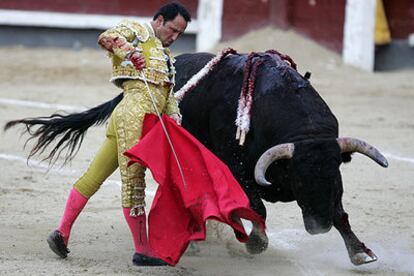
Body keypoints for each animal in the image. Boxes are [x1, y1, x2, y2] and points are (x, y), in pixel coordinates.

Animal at [173, 51, 386, 266]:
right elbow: (257, 208)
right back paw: (193, 243)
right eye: (299, 180)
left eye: (333, 176)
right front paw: (256, 243)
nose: (320, 226)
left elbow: (339, 213)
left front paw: (359, 251)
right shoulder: (236, 170)